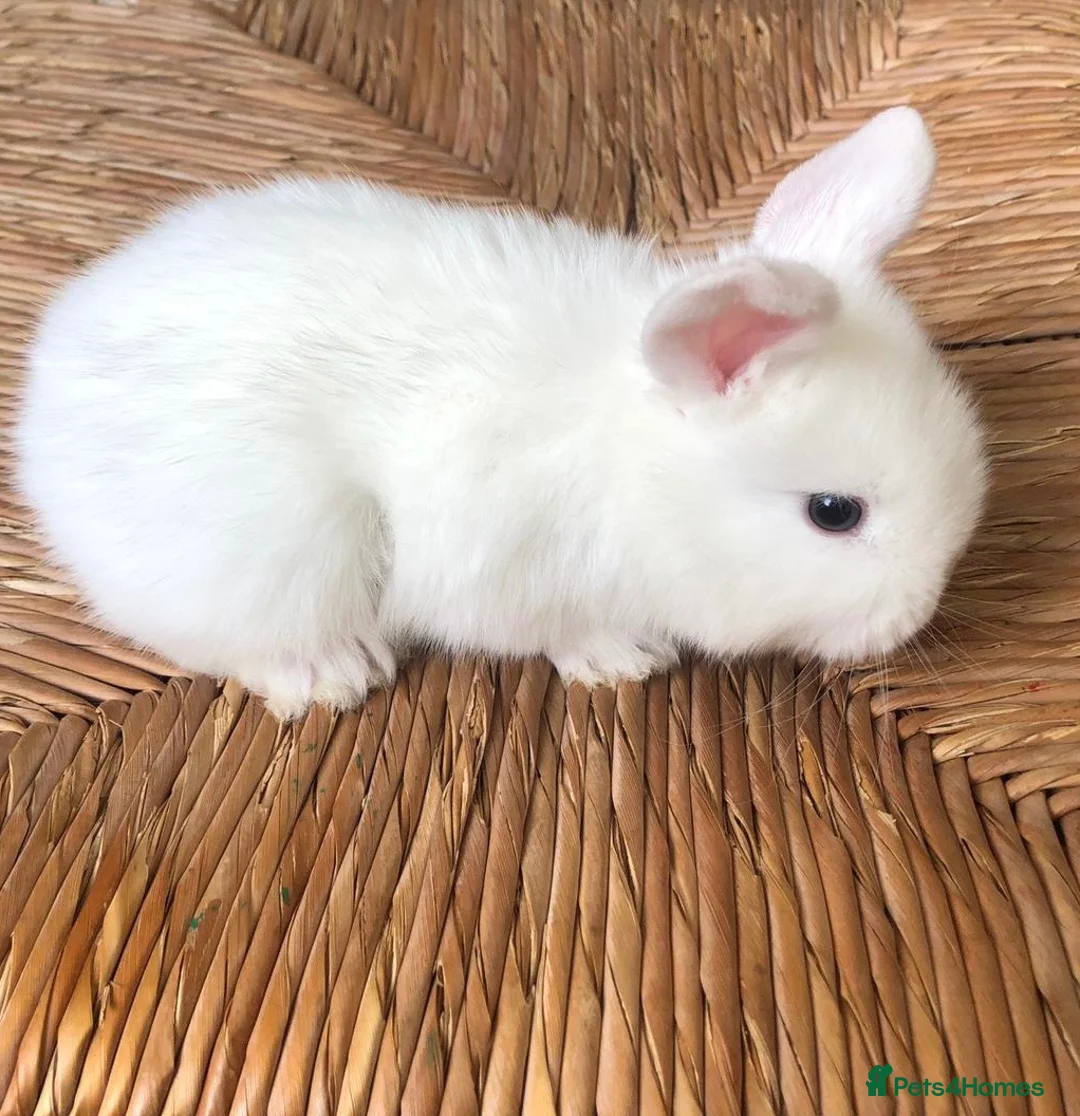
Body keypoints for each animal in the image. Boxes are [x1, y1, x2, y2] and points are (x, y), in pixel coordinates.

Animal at [15, 106, 987, 719]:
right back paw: (331, 673)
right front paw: (621, 657)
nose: (918, 614)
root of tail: (43, 390)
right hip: (275, 550)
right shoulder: (506, 570)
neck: (632, 467)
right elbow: (557, 629)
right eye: (834, 513)